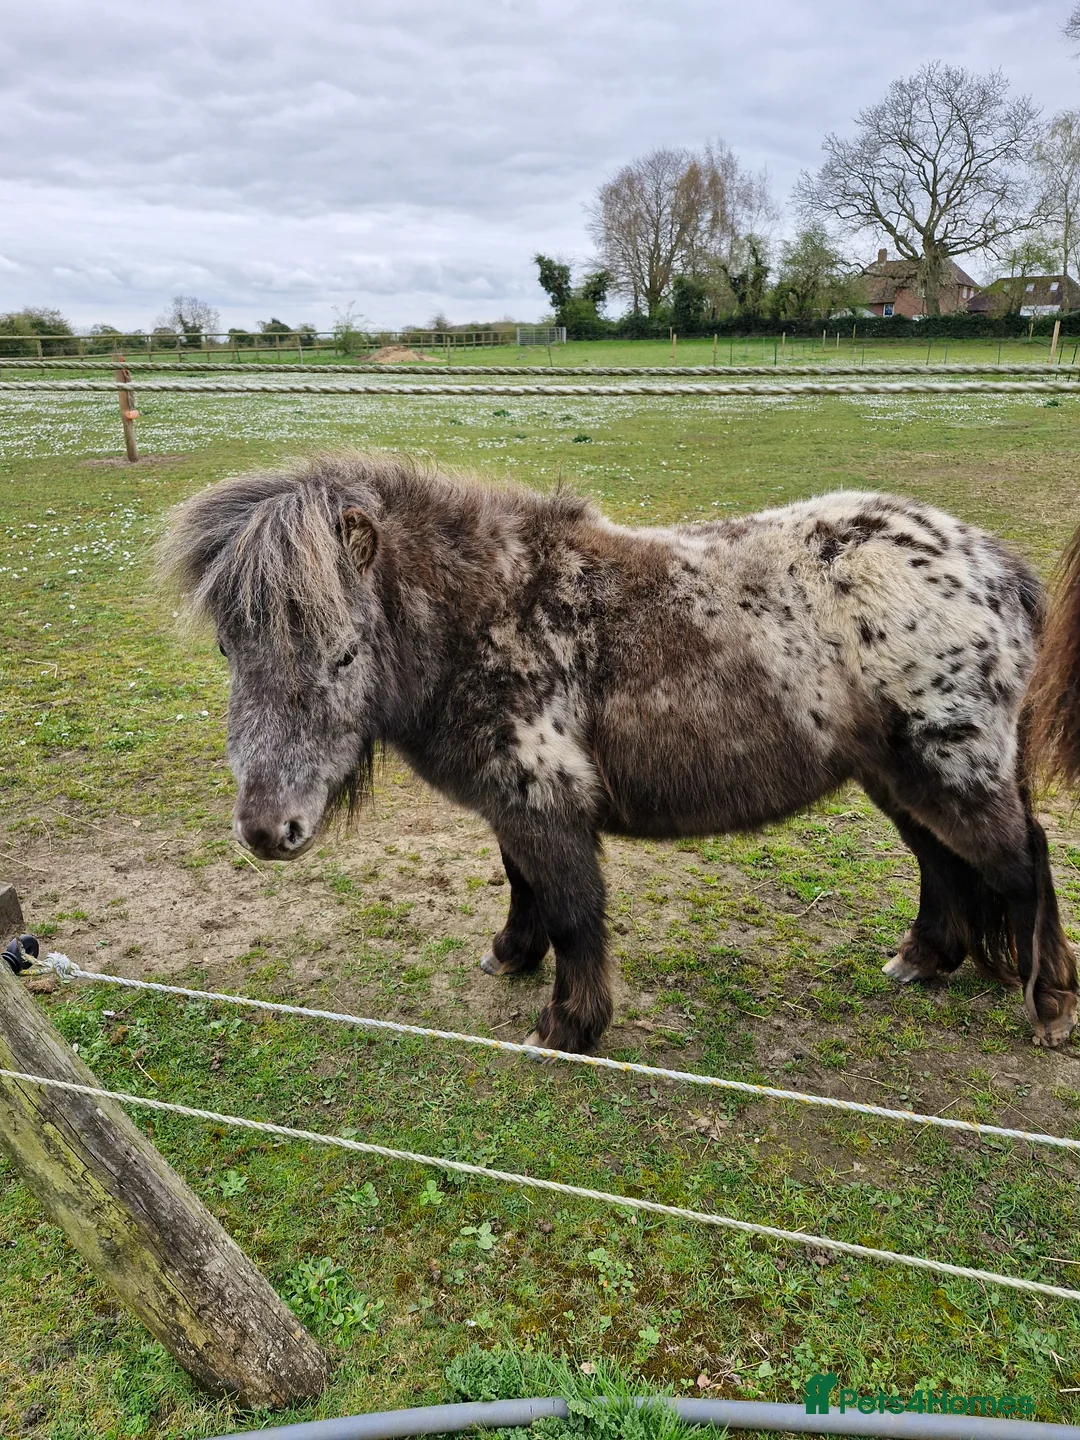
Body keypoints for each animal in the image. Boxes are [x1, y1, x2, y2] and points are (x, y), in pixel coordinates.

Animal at [159, 453, 1078, 1054]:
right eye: (230, 652)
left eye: (345, 654)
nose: (267, 830)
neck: (487, 613)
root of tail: (995, 564)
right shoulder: (514, 804)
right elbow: (525, 885)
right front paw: (511, 956)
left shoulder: (546, 799)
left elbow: (572, 907)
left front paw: (569, 1024)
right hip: (897, 773)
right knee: (943, 860)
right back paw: (922, 960)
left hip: (952, 767)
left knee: (1021, 859)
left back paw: (1048, 1008)